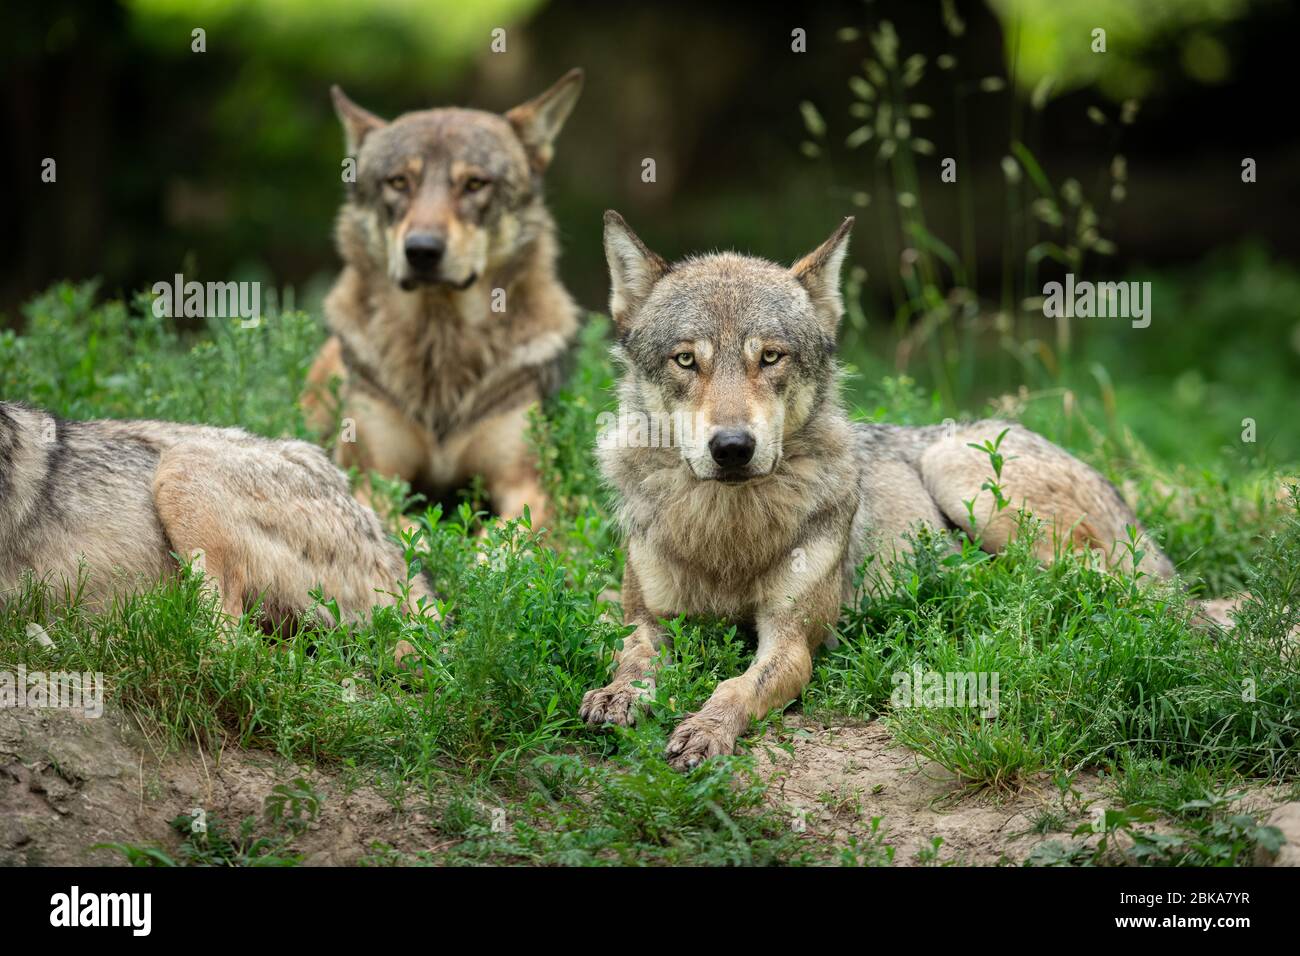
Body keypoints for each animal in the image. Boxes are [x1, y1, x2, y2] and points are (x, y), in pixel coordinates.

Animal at [302, 69, 585, 526]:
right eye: (399, 182)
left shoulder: (528, 486)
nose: (421, 250)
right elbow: (406, 527)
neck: (441, 343)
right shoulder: (373, 480)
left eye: (474, 184)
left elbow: (503, 540)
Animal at [583, 211, 1176, 770]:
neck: (726, 533)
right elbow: (631, 653)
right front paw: (617, 695)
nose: (732, 447)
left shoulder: (791, 641)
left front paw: (706, 729)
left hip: (962, 476)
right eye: (686, 359)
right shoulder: (648, 618)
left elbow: (737, 686)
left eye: (770, 356)